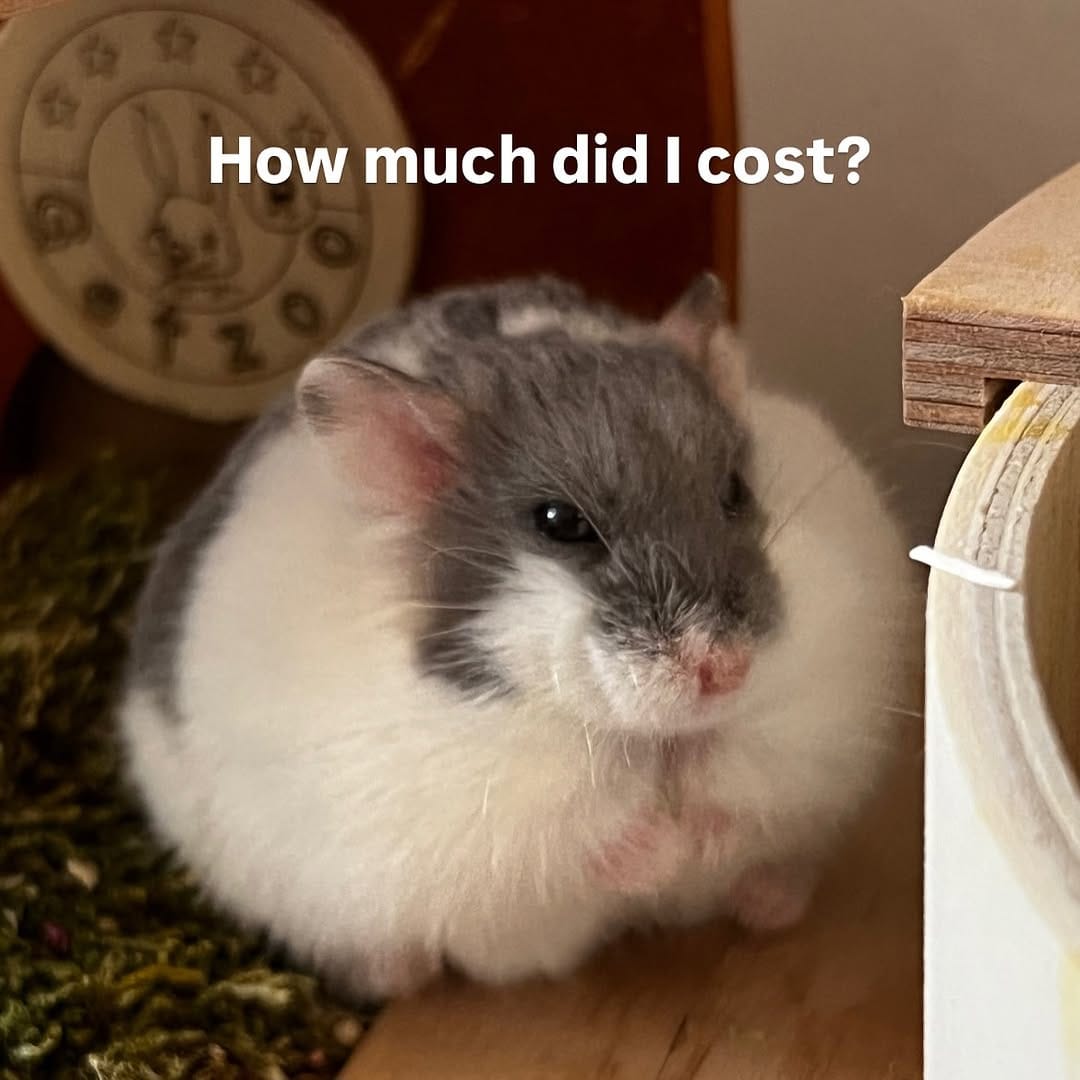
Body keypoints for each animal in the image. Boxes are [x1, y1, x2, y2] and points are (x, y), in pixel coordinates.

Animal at [119, 274, 911, 999]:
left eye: (736, 492)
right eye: (559, 523)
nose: (725, 670)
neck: (655, 741)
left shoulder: (803, 738)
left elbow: (748, 795)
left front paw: (702, 837)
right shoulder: (496, 813)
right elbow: (586, 837)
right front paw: (665, 846)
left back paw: (769, 902)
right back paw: (399, 972)